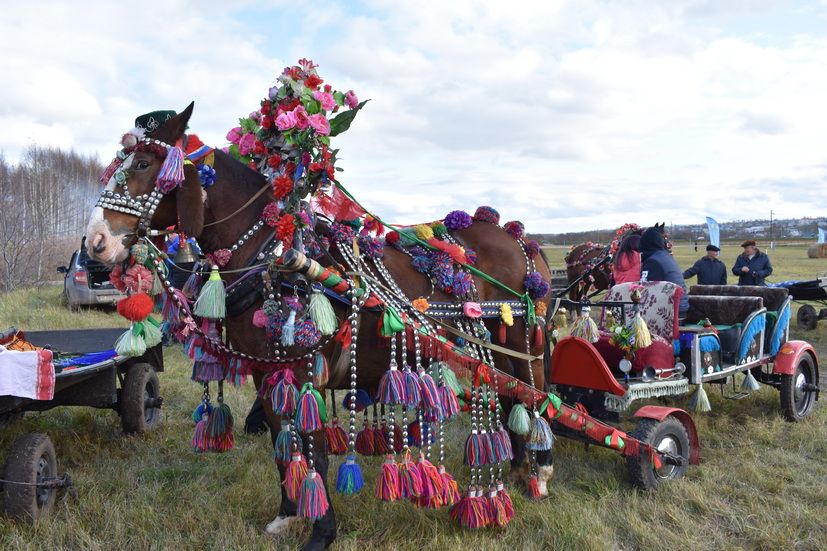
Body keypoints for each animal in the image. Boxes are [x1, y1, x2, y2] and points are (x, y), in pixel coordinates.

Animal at [85, 61, 556, 551]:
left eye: (142, 163)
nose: (94, 243)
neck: (274, 252)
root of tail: (520, 239)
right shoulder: (268, 372)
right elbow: (282, 443)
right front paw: (287, 513)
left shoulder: (305, 368)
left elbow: (316, 451)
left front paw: (321, 530)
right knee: (510, 397)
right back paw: (517, 467)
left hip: (522, 342)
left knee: (536, 396)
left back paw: (539, 472)